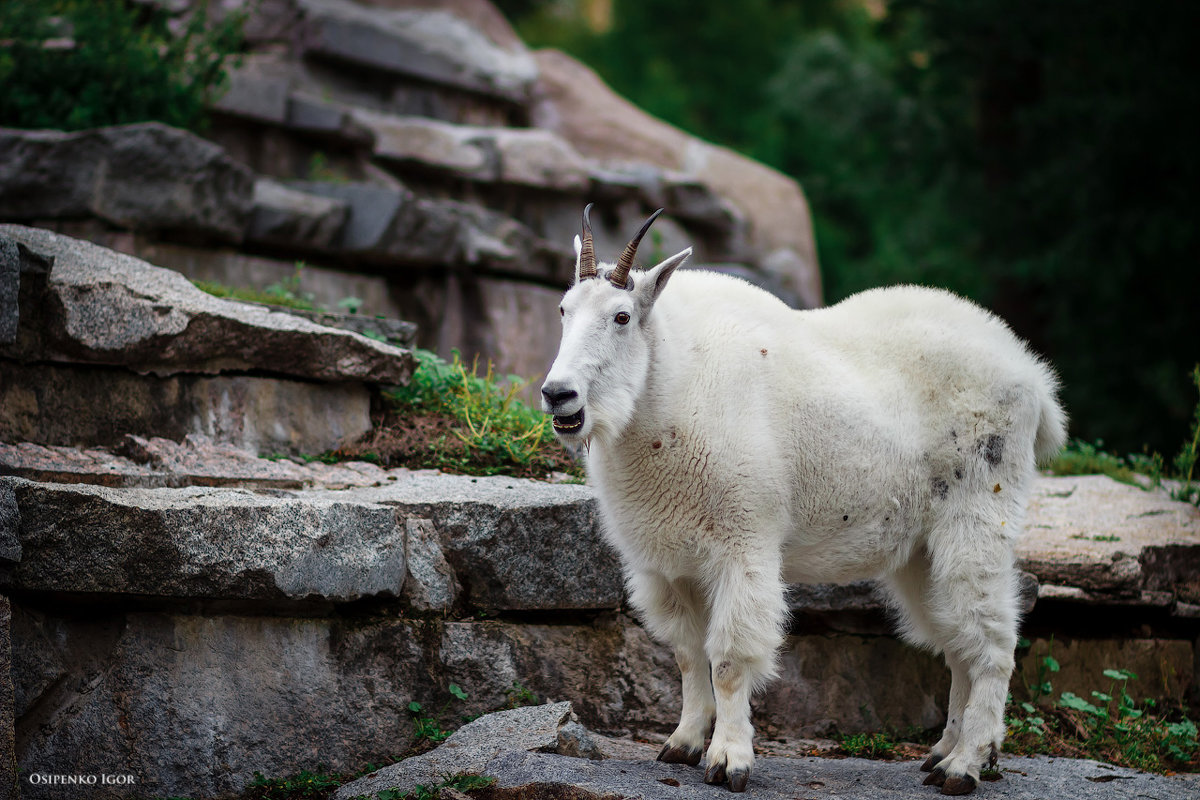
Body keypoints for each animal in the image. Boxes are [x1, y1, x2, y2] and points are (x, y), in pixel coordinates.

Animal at [540, 205, 1065, 796]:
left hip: (978, 517)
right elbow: (686, 653)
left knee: (993, 642)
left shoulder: (743, 541)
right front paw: (681, 744)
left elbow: (729, 658)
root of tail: (1034, 379)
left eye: (622, 316)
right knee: (957, 642)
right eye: (563, 309)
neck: (667, 386)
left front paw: (729, 761)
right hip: (922, 549)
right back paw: (944, 753)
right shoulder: (667, 562)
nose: (558, 395)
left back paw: (965, 765)